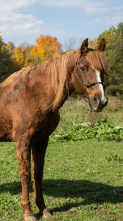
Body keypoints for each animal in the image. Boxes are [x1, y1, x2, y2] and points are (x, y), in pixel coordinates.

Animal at [0, 38, 107, 220]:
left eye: (103, 71)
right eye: (83, 67)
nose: (100, 101)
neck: (33, 95)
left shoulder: (41, 141)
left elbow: (38, 174)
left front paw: (43, 208)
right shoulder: (23, 142)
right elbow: (25, 175)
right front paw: (28, 212)